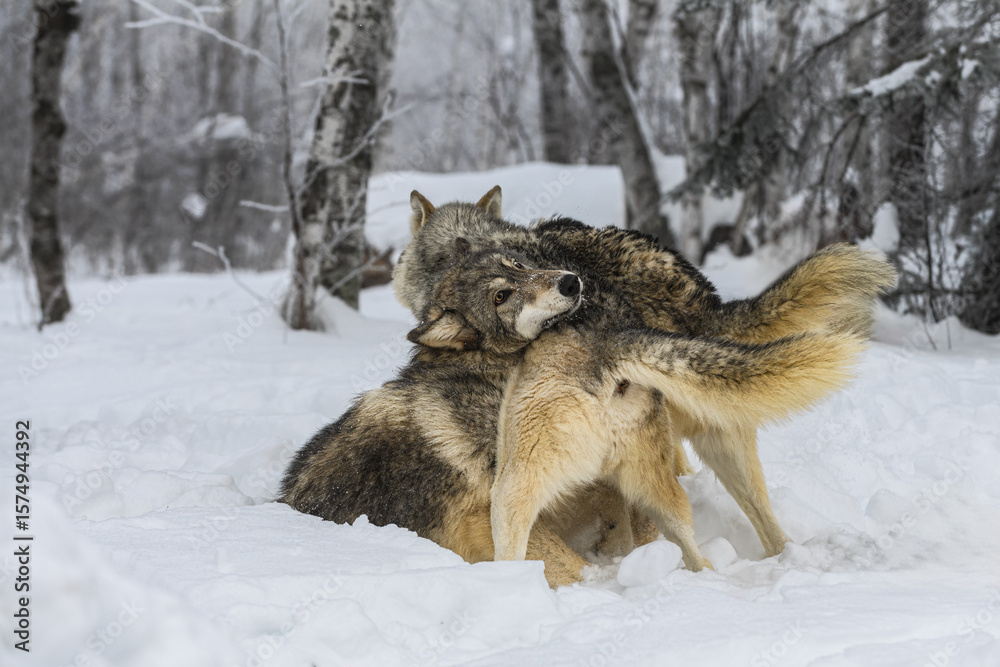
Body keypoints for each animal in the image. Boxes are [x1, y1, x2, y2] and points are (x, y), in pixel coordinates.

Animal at [393, 187, 896, 563]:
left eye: (516, 267)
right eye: (502, 291)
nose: (570, 282)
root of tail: (699, 303)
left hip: (518, 482)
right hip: (715, 438)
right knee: (760, 532)